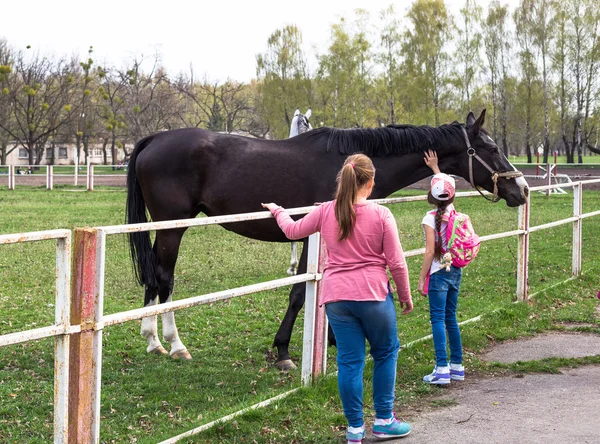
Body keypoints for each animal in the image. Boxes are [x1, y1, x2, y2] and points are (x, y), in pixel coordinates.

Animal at [127, 109, 528, 370]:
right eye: (492, 149)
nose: (522, 189)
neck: (349, 165)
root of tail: (155, 138)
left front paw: (334, 339)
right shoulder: (314, 235)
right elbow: (300, 292)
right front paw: (284, 351)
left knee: (153, 277)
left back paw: (151, 340)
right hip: (173, 226)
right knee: (165, 278)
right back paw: (174, 344)